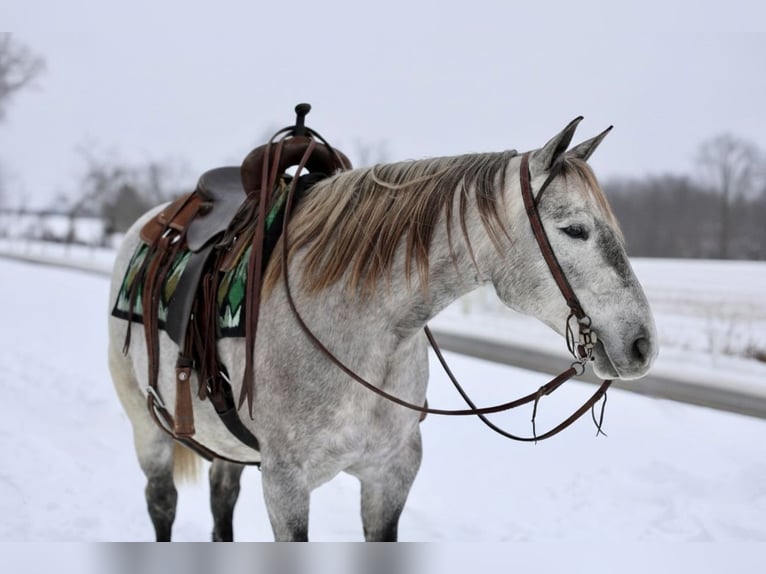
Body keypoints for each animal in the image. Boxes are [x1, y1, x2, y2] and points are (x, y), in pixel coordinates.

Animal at [107, 116, 657, 541]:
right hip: (147, 428)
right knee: (162, 504)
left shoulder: (389, 476)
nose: (643, 344)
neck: (365, 333)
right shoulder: (286, 485)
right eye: (574, 229)